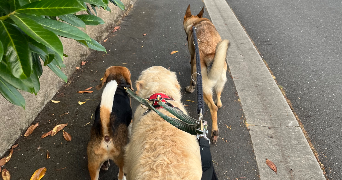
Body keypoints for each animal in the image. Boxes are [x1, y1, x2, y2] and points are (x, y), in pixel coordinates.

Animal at [182, 4, 230, 143]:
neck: (196, 22)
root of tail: (211, 55)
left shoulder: (193, 60)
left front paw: (190, 88)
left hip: (203, 88)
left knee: (213, 108)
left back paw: (214, 132)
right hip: (220, 81)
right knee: (218, 97)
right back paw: (219, 103)